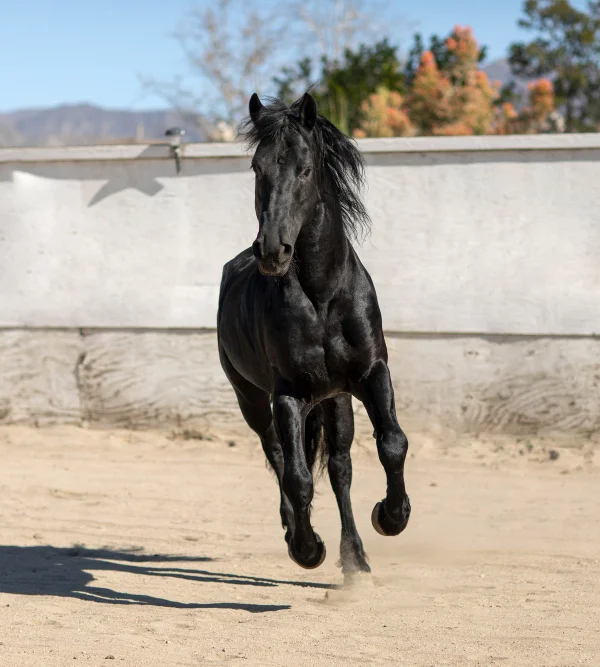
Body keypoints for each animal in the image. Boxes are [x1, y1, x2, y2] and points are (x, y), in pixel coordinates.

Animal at [217, 92, 411, 577]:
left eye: (305, 169)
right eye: (257, 169)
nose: (271, 251)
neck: (323, 298)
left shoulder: (372, 374)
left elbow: (392, 443)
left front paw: (390, 517)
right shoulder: (287, 394)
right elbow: (297, 477)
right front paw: (307, 549)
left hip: (335, 400)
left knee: (340, 467)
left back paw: (356, 559)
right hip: (252, 400)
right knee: (277, 456)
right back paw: (298, 535)